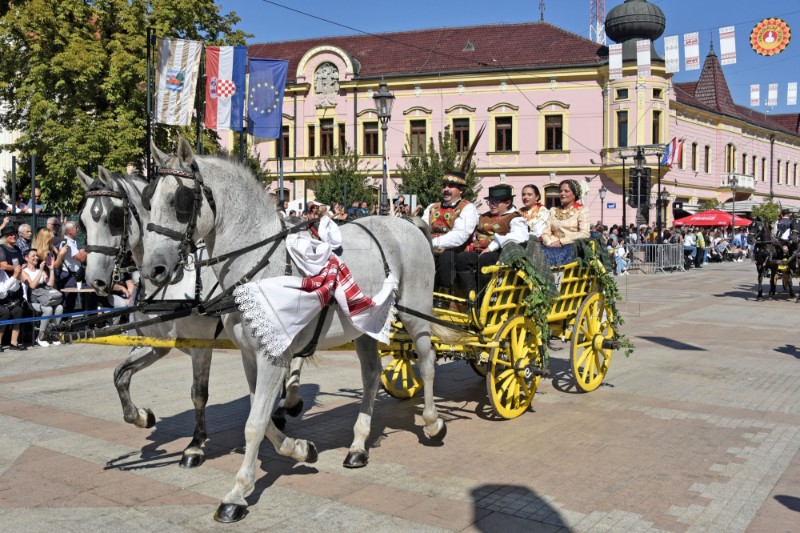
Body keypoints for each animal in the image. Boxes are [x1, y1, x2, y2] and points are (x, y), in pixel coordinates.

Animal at [77, 168, 231, 468]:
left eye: (114, 218)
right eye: (83, 222)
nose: (95, 281)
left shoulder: (201, 345)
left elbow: (199, 394)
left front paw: (195, 445)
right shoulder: (155, 344)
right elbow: (120, 375)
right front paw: (142, 416)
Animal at [142, 138, 444, 524]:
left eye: (179, 201)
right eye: (149, 198)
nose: (153, 269)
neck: (259, 267)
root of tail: (407, 223)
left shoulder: (273, 357)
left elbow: (254, 424)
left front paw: (237, 494)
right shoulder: (250, 356)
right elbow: (261, 415)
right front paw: (300, 449)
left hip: (416, 313)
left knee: (428, 361)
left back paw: (432, 422)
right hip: (364, 328)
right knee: (372, 376)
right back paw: (358, 445)